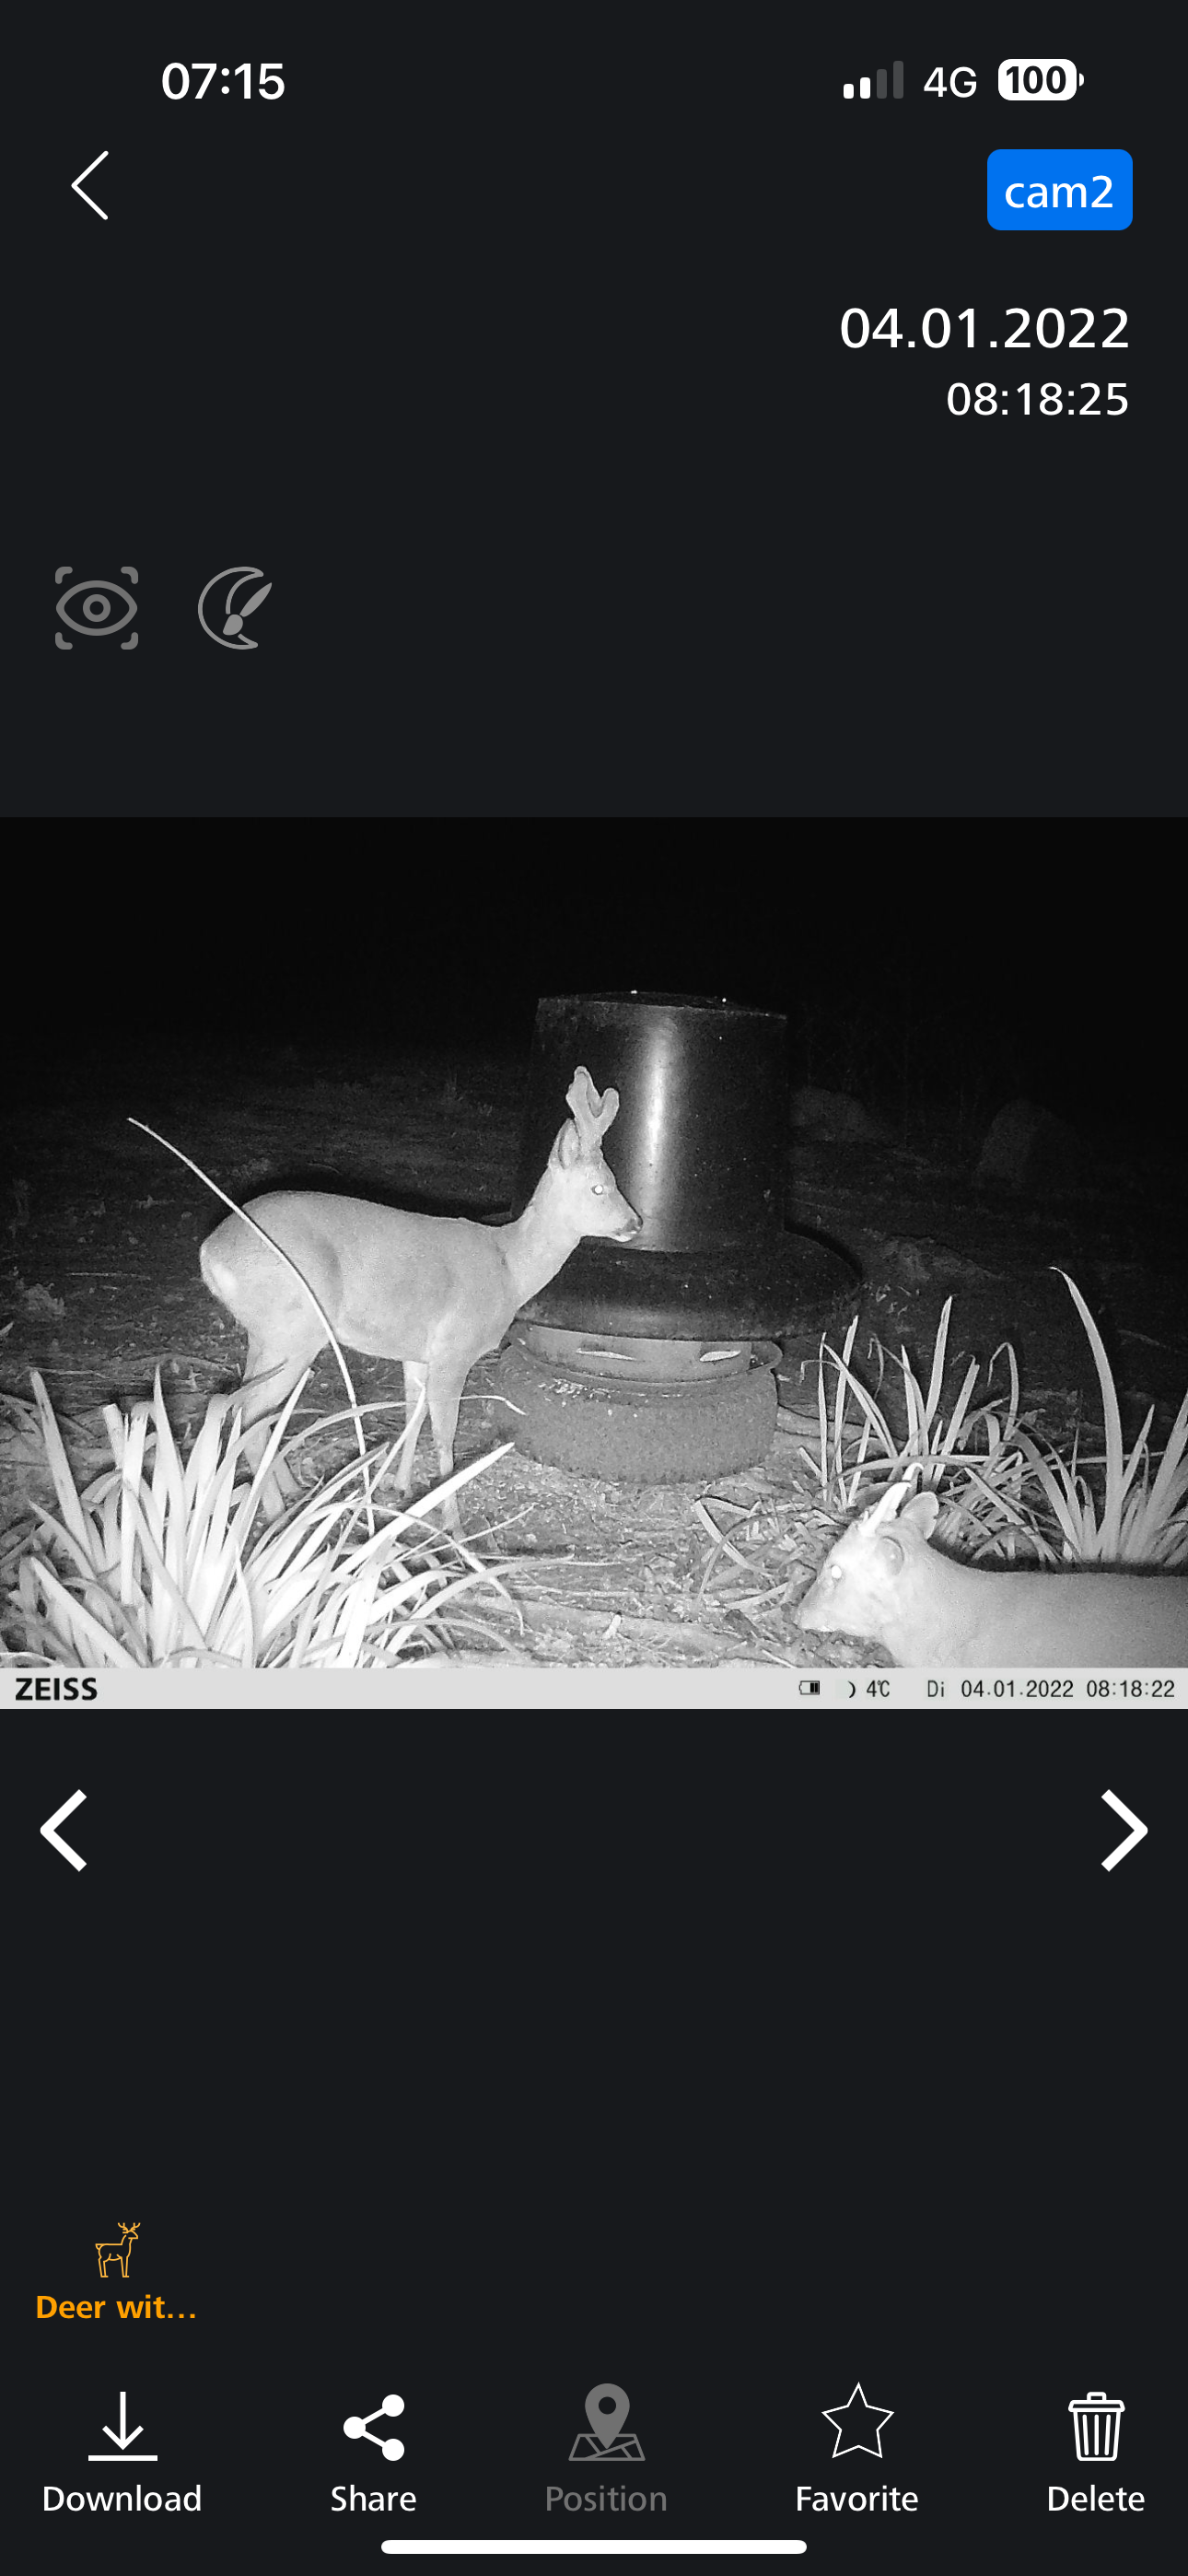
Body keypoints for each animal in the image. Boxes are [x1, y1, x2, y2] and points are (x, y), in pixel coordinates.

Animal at [200, 1065, 642, 1528]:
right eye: (598, 1188)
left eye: (616, 1183)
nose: (635, 1223)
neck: (509, 1268)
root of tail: (210, 1252)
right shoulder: (455, 1348)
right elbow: (444, 1434)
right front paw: (451, 1522)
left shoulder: (416, 1353)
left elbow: (412, 1418)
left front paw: (401, 1489)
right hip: (294, 1329)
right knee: (245, 1410)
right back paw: (275, 1513)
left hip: (266, 1334)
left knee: (244, 1407)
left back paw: (289, 1493)